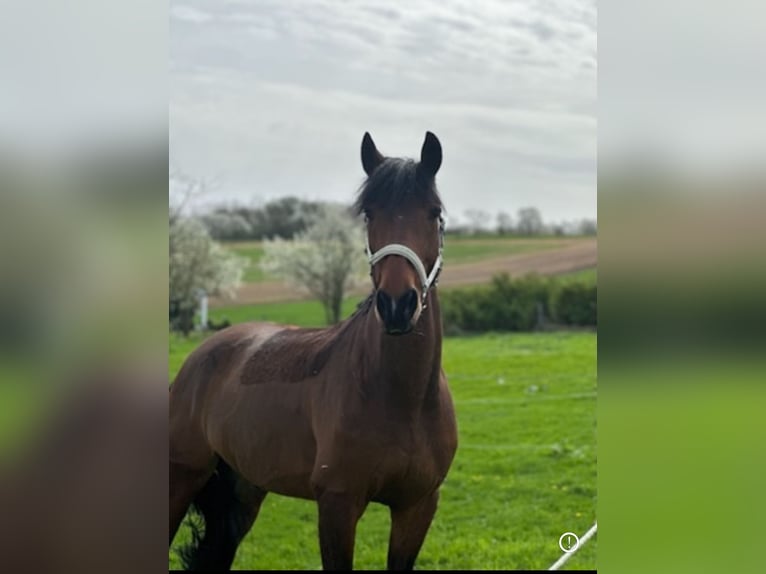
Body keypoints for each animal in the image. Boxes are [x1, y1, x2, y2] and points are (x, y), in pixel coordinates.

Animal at [171, 134, 460, 572]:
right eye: (369, 214)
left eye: (434, 213)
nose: (397, 305)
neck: (401, 397)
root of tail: (201, 354)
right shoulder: (338, 504)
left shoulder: (417, 506)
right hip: (181, 480)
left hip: (243, 490)